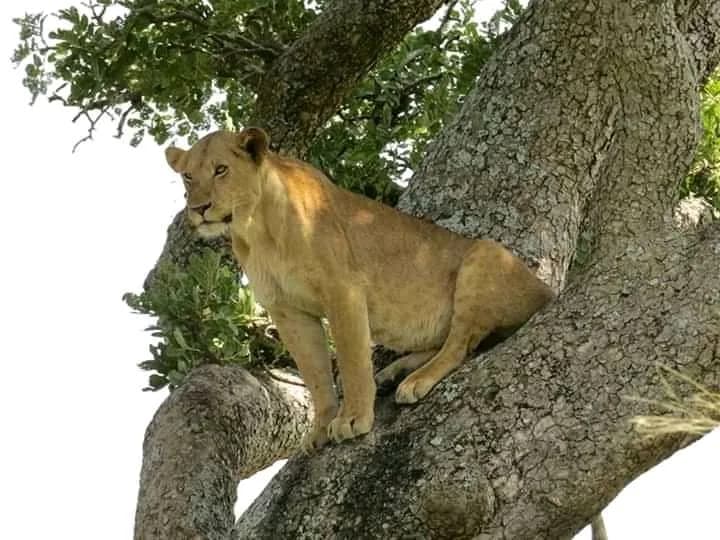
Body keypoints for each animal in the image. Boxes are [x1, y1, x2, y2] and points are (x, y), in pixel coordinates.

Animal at [165, 127, 554, 450]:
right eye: (188, 176)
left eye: (221, 170)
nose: (198, 208)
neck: (256, 229)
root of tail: (547, 291)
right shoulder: (287, 311)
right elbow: (315, 375)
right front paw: (320, 429)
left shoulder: (343, 290)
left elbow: (352, 361)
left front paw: (353, 419)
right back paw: (394, 371)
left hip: (484, 254)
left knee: (461, 344)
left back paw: (415, 381)